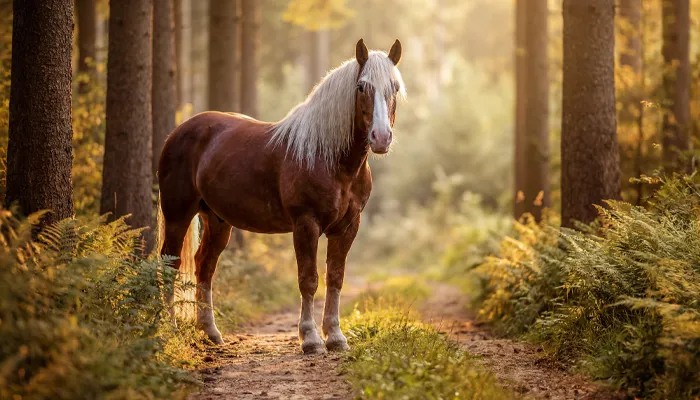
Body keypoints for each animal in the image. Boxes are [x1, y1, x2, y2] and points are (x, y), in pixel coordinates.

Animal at [157, 39, 405, 354]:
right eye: (362, 87)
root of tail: (178, 131)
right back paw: (170, 329)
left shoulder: (348, 226)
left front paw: (336, 337)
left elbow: (335, 278)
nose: (381, 138)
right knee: (171, 264)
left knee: (204, 266)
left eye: (394, 87)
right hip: (178, 214)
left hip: (217, 219)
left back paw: (210, 332)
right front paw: (310, 338)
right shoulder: (306, 224)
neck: (330, 158)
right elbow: (308, 280)